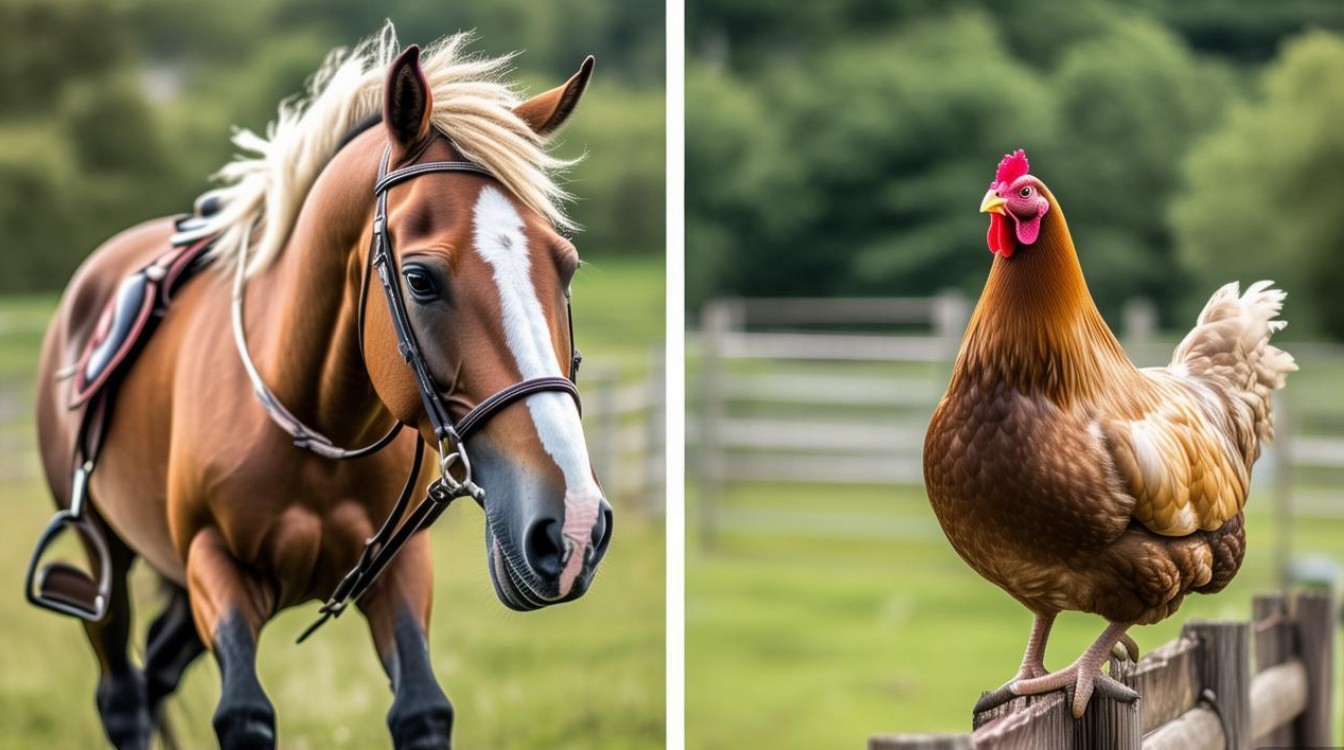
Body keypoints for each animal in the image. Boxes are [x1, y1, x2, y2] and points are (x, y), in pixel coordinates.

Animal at [31, 27, 612, 749]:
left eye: (567, 267)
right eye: (420, 279)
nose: (574, 523)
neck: (316, 426)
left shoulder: (398, 570)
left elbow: (423, 708)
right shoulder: (215, 565)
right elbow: (244, 714)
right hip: (102, 552)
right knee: (123, 695)